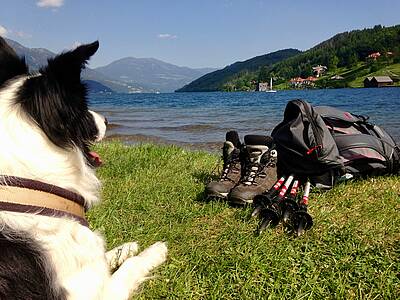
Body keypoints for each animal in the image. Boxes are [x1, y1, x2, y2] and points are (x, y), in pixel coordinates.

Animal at [0, 37, 167, 300]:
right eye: (84, 107)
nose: (107, 120)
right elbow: (127, 267)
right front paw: (155, 251)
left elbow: (105, 257)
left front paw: (126, 247)